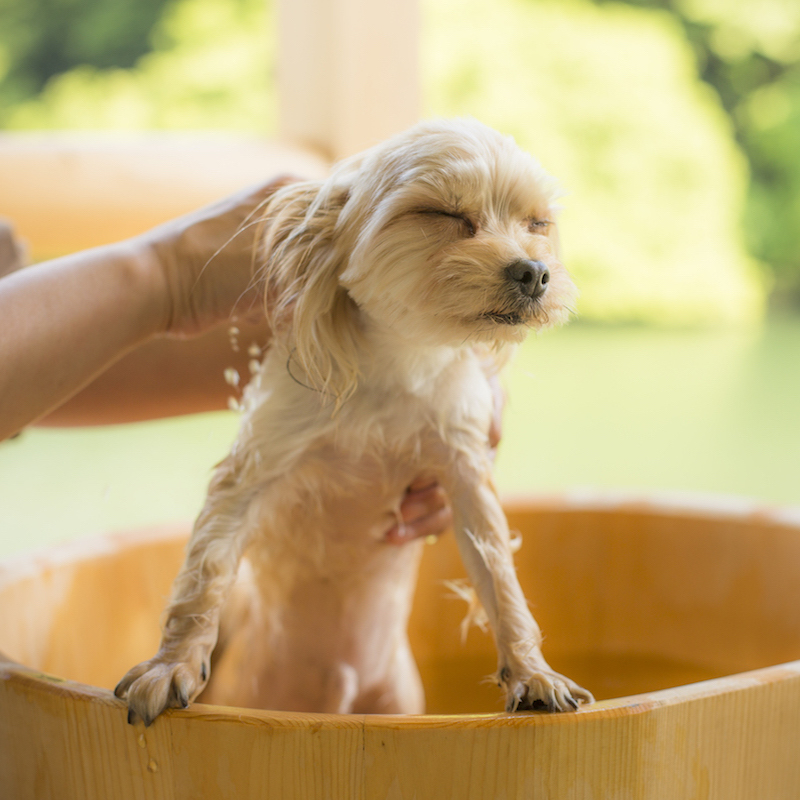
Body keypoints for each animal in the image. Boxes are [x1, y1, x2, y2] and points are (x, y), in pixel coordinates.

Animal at [117, 119, 592, 724]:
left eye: (537, 224)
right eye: (441, 213)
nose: (534, 272)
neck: (396, 365)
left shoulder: (462, 473)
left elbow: (500, 581)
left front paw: (532, 675)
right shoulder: (253, 468)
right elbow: (205, 574)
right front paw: (170, 666)